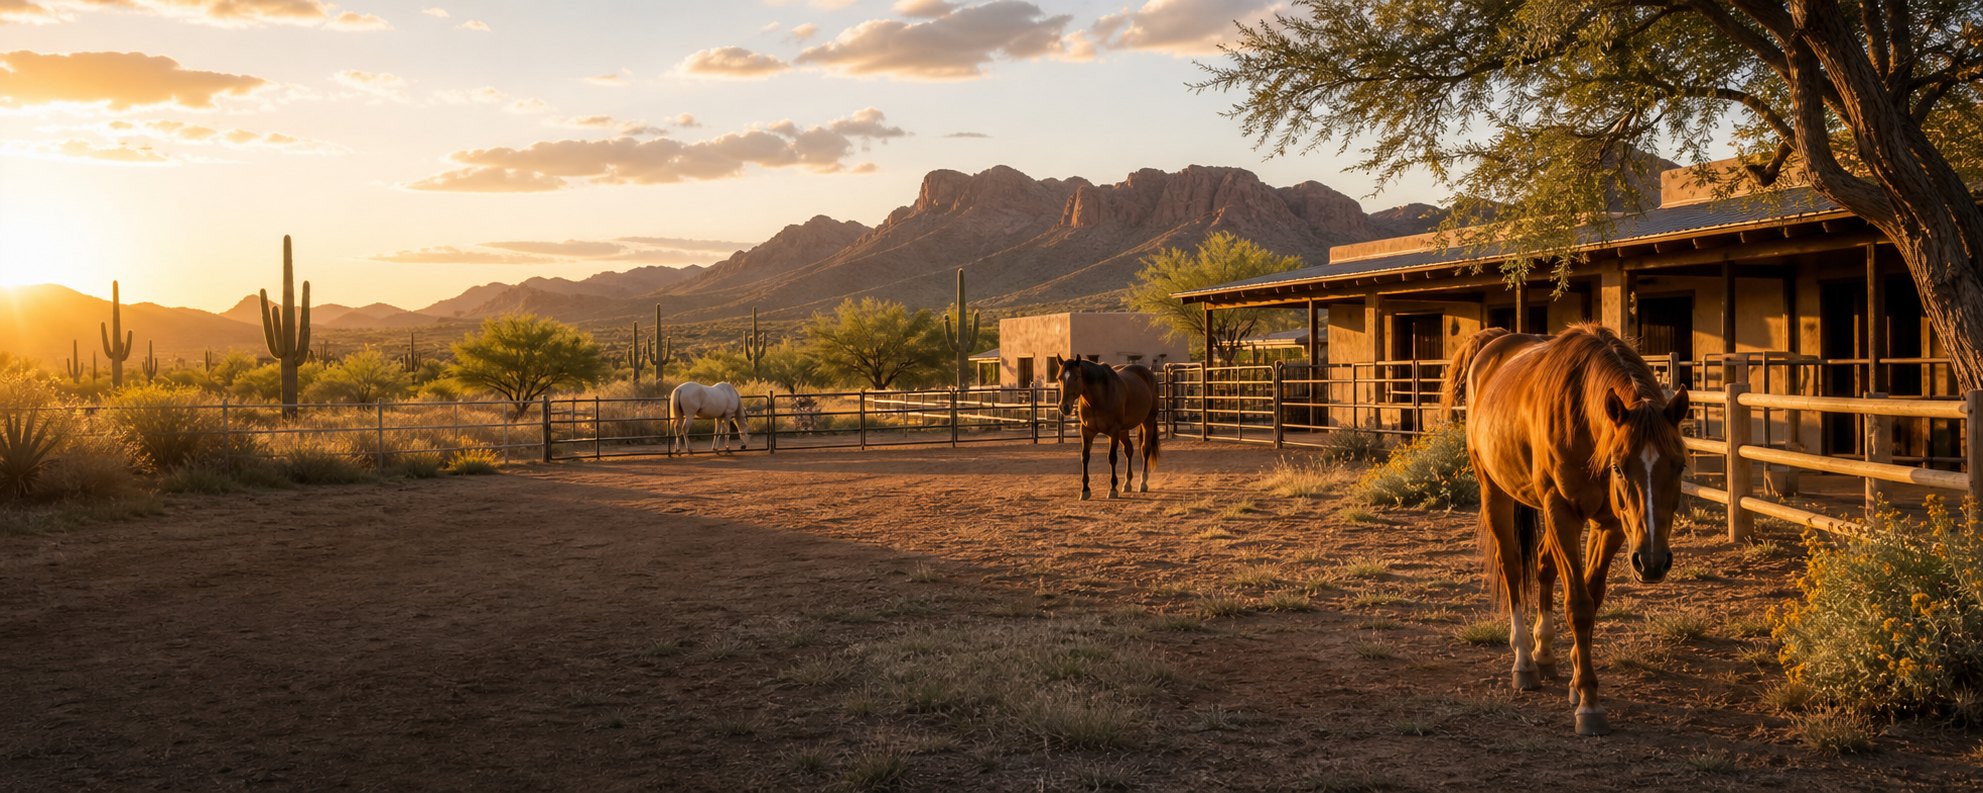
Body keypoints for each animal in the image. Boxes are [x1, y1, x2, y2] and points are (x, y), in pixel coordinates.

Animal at [1055, 359, 1160, 500]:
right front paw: (1085, 490)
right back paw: (1127, 483)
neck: (1098, 398)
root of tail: (1150, 373)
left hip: (1147, 422)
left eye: (1076, 377)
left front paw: (1113, 489)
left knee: (1145, 450)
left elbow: (1112, 458)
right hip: (1123, 430)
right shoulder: (1086, 431)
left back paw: (1143, 482)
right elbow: (1085, 457)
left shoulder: (1113, 431)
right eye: (1059, 377)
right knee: (1129, 450)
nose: (1064, 407)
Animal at [1439, 323, 1690, 736]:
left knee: (1542, 565)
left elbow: (1592, 595)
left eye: (1680, 465)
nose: (1653, 561)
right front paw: (1588, 702)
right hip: (1494, 492)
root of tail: (1493, 341)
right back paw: (1525, 662)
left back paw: (1543, 654)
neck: (1584, 419)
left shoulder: (1611, 524)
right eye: (1619, 467)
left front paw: (1575, 679)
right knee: (1512, 570)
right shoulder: (1562, 511)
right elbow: (1579, 604)